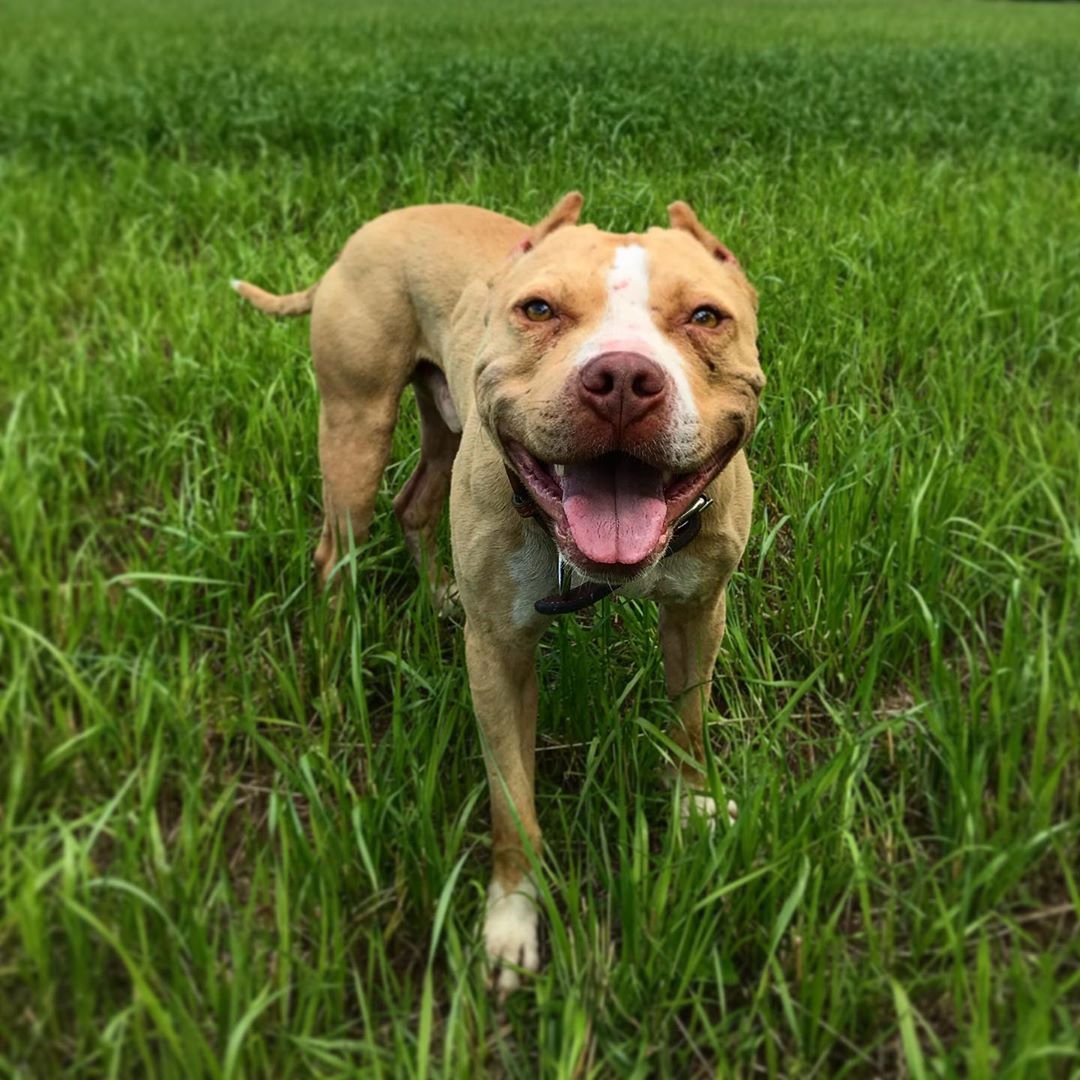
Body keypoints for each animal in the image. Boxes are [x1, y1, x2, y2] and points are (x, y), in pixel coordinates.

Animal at [232, 190, 764, 989]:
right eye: (538, 309)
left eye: (706, 316)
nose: (622, 380)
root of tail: (373, 227)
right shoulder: (499, 658)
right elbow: (512, 803)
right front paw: (510, 924)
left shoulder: (699, 611)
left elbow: (690, 722)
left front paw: (697, 807)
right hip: (355, 427)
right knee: (335, 550)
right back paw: (334, 657)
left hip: (443, 428)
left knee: (414, 505)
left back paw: (439, 595)